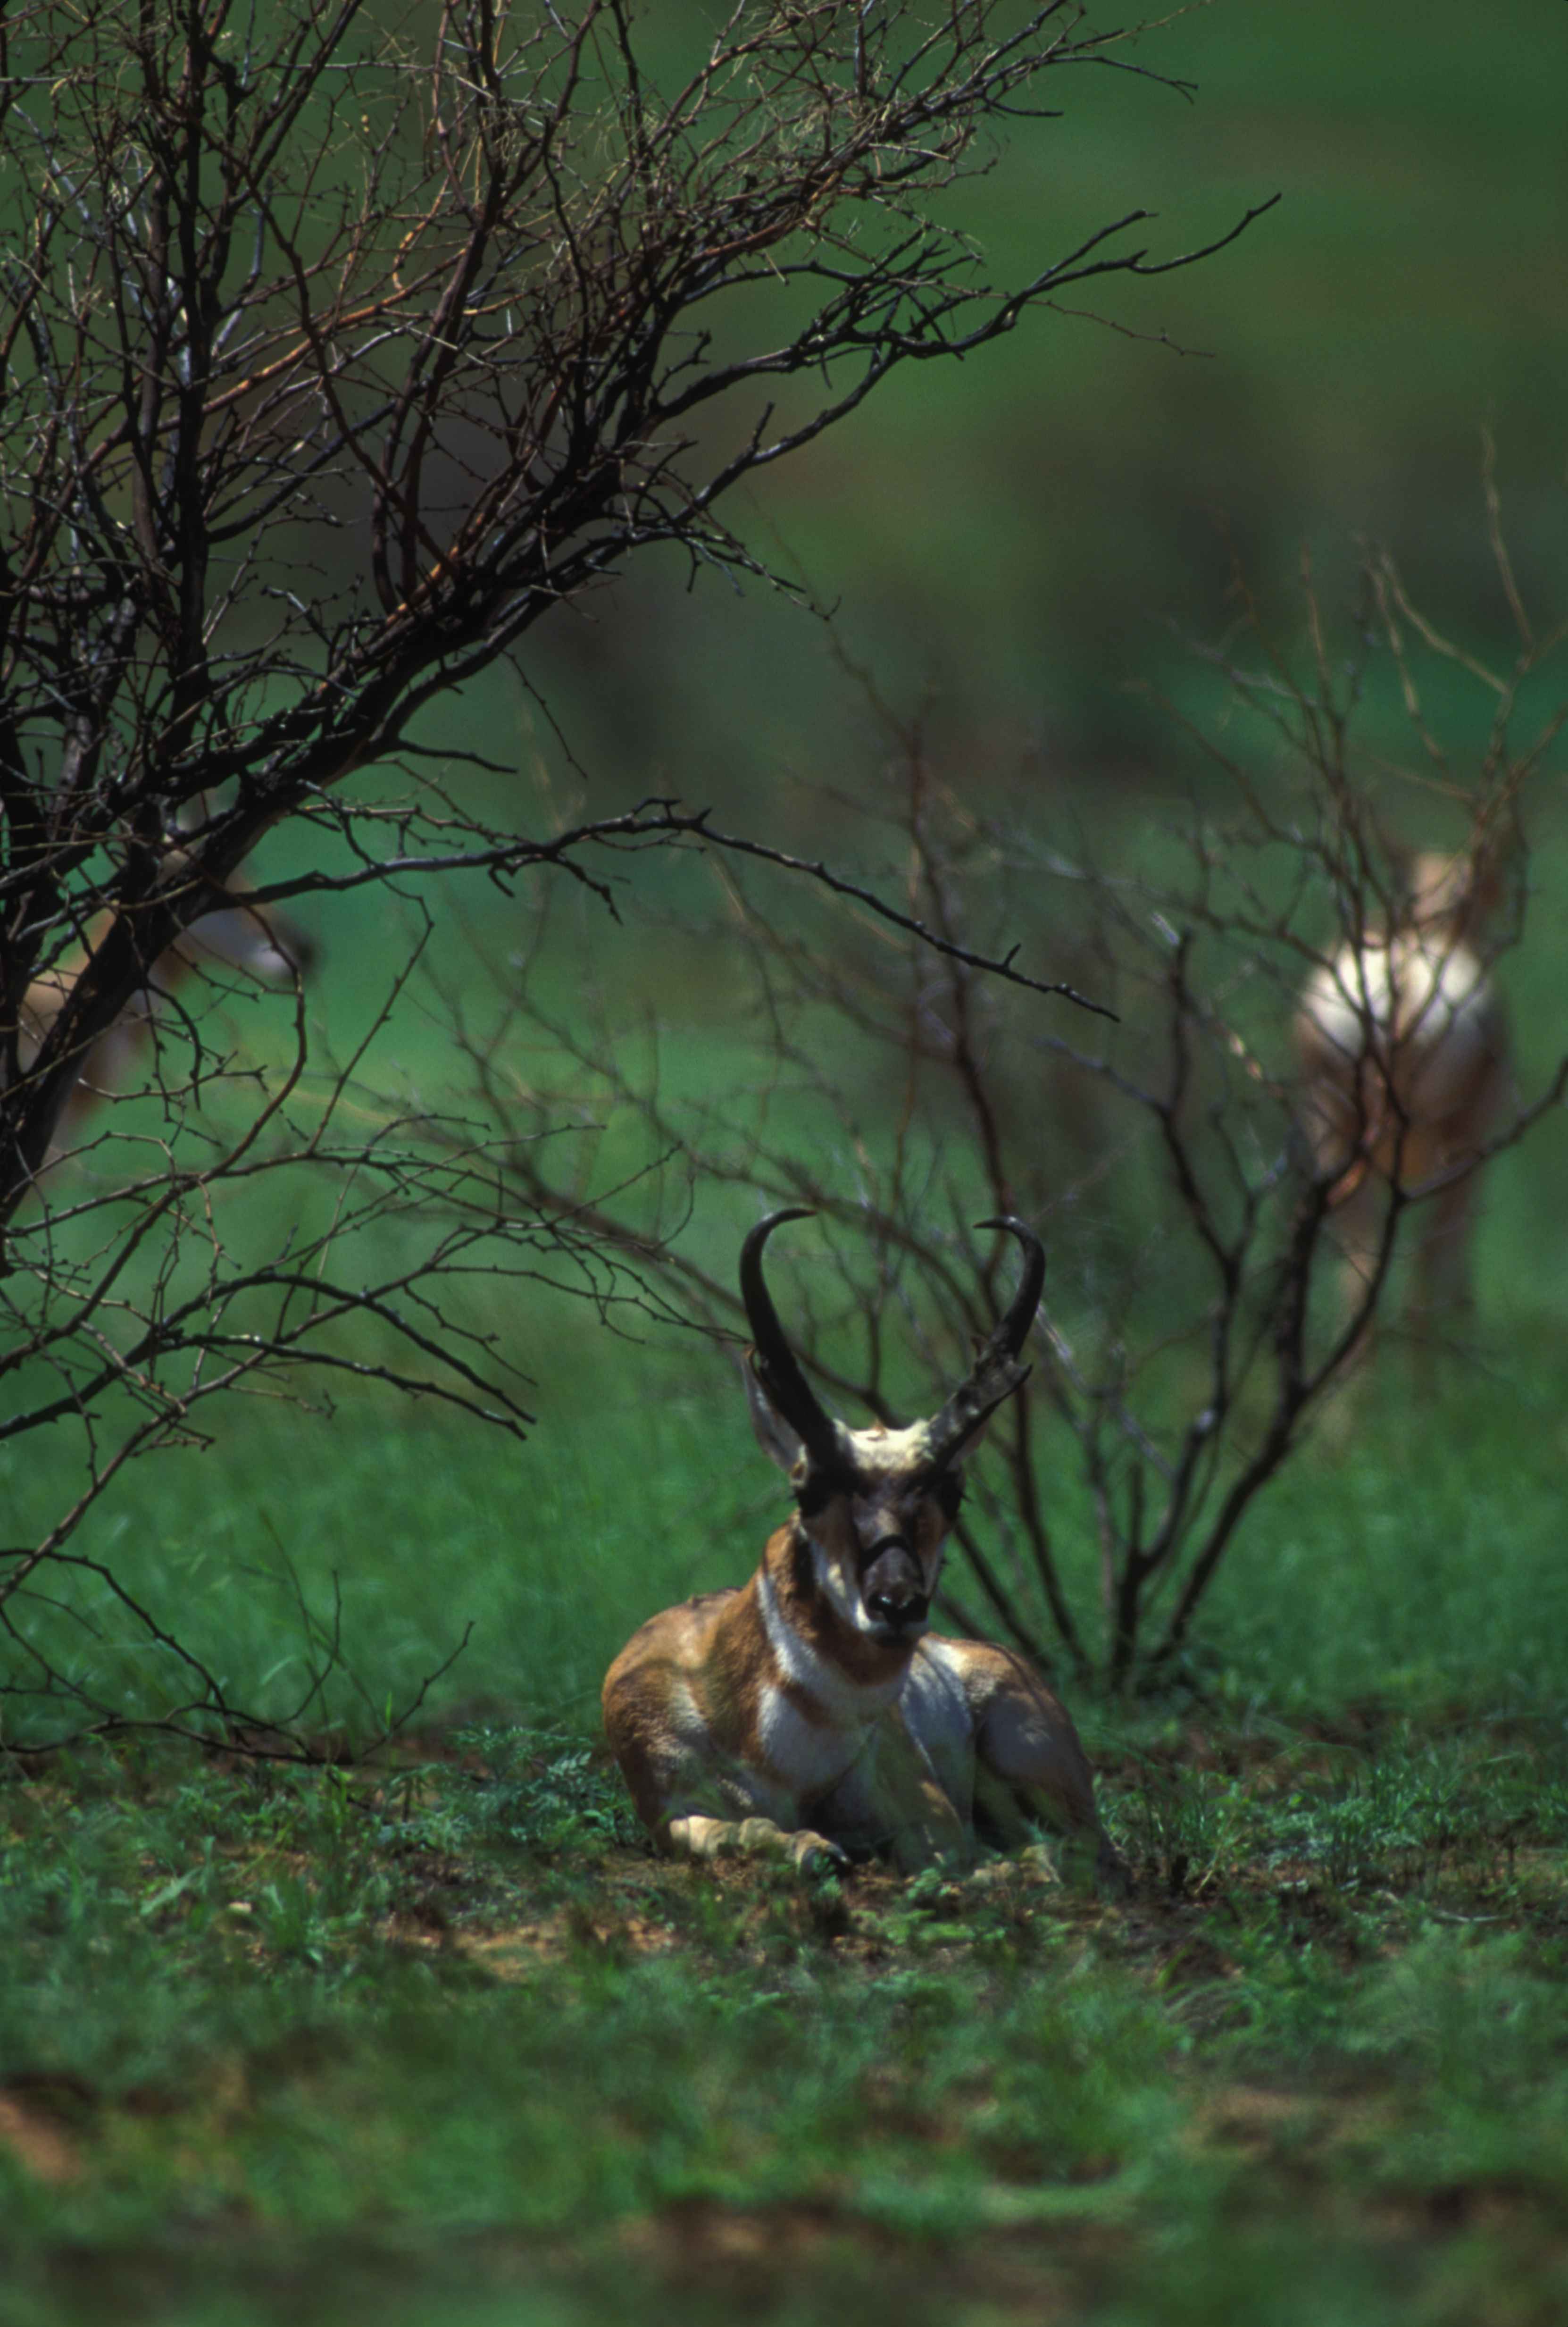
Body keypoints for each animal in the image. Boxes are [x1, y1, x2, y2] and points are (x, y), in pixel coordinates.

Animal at [603, 1211, 1123, 1884]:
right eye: (807, 1488)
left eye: (952, 1492)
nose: (896, 1606)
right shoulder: (671, 1812)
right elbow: (734, 1831)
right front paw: (810, 1846)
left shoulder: (932, 1817)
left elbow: (945, 1856)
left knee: (1087, 1847)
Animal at [1294, 842, 1511, 1347]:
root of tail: (1406, 984)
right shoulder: (1475, 1147)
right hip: (1454, 1146)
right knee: (1425, 1267)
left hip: (1331, 1132)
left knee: (1359, 1269)